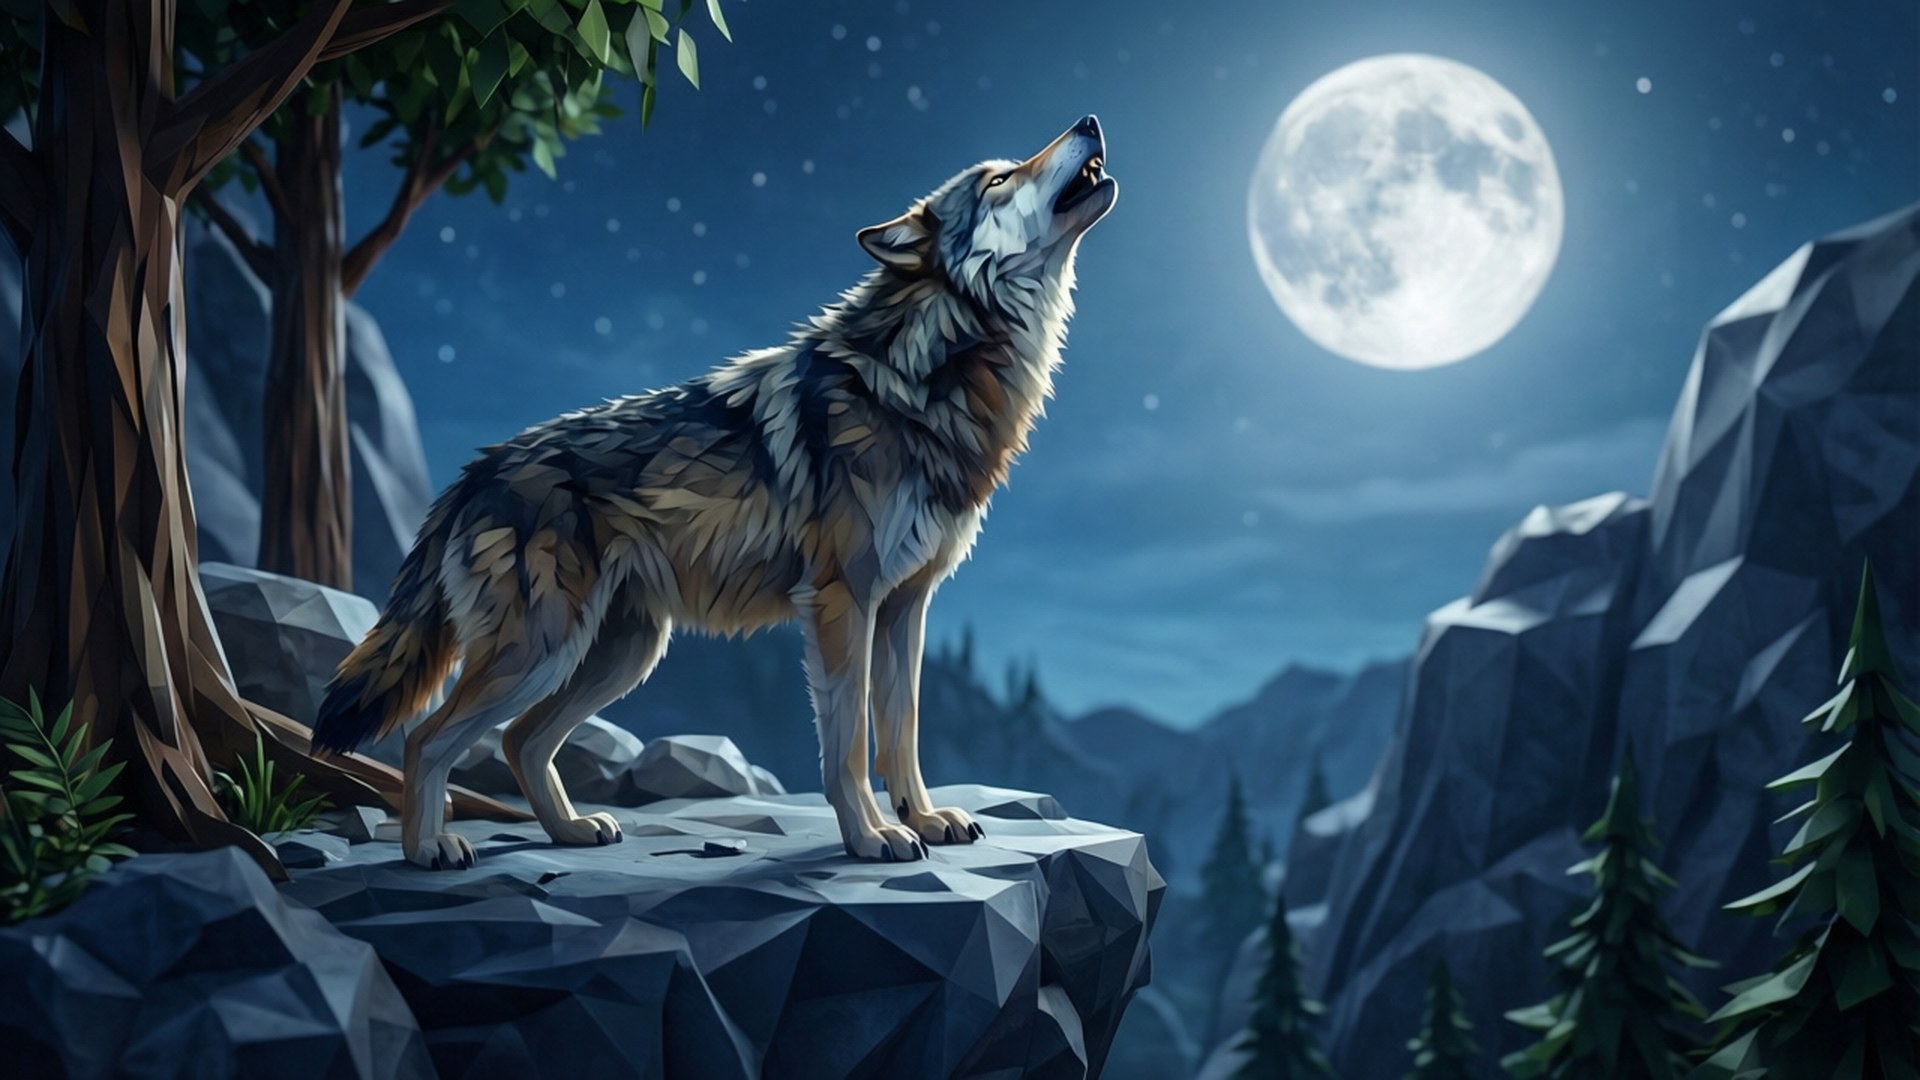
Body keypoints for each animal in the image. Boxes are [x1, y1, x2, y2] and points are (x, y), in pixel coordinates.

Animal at [312, 116, 1117, 869]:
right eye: (999, 178)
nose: (1089, 122)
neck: (925, 372)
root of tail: (473, 471)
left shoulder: (905, 608)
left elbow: (903, 731)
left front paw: (923, 819)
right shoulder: (842, 601)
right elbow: (851, 745)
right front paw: (871, 837)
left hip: (621, 652)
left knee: (519, 740)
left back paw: (570, 831)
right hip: (541, 648)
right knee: (427, 737)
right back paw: (429, 850)